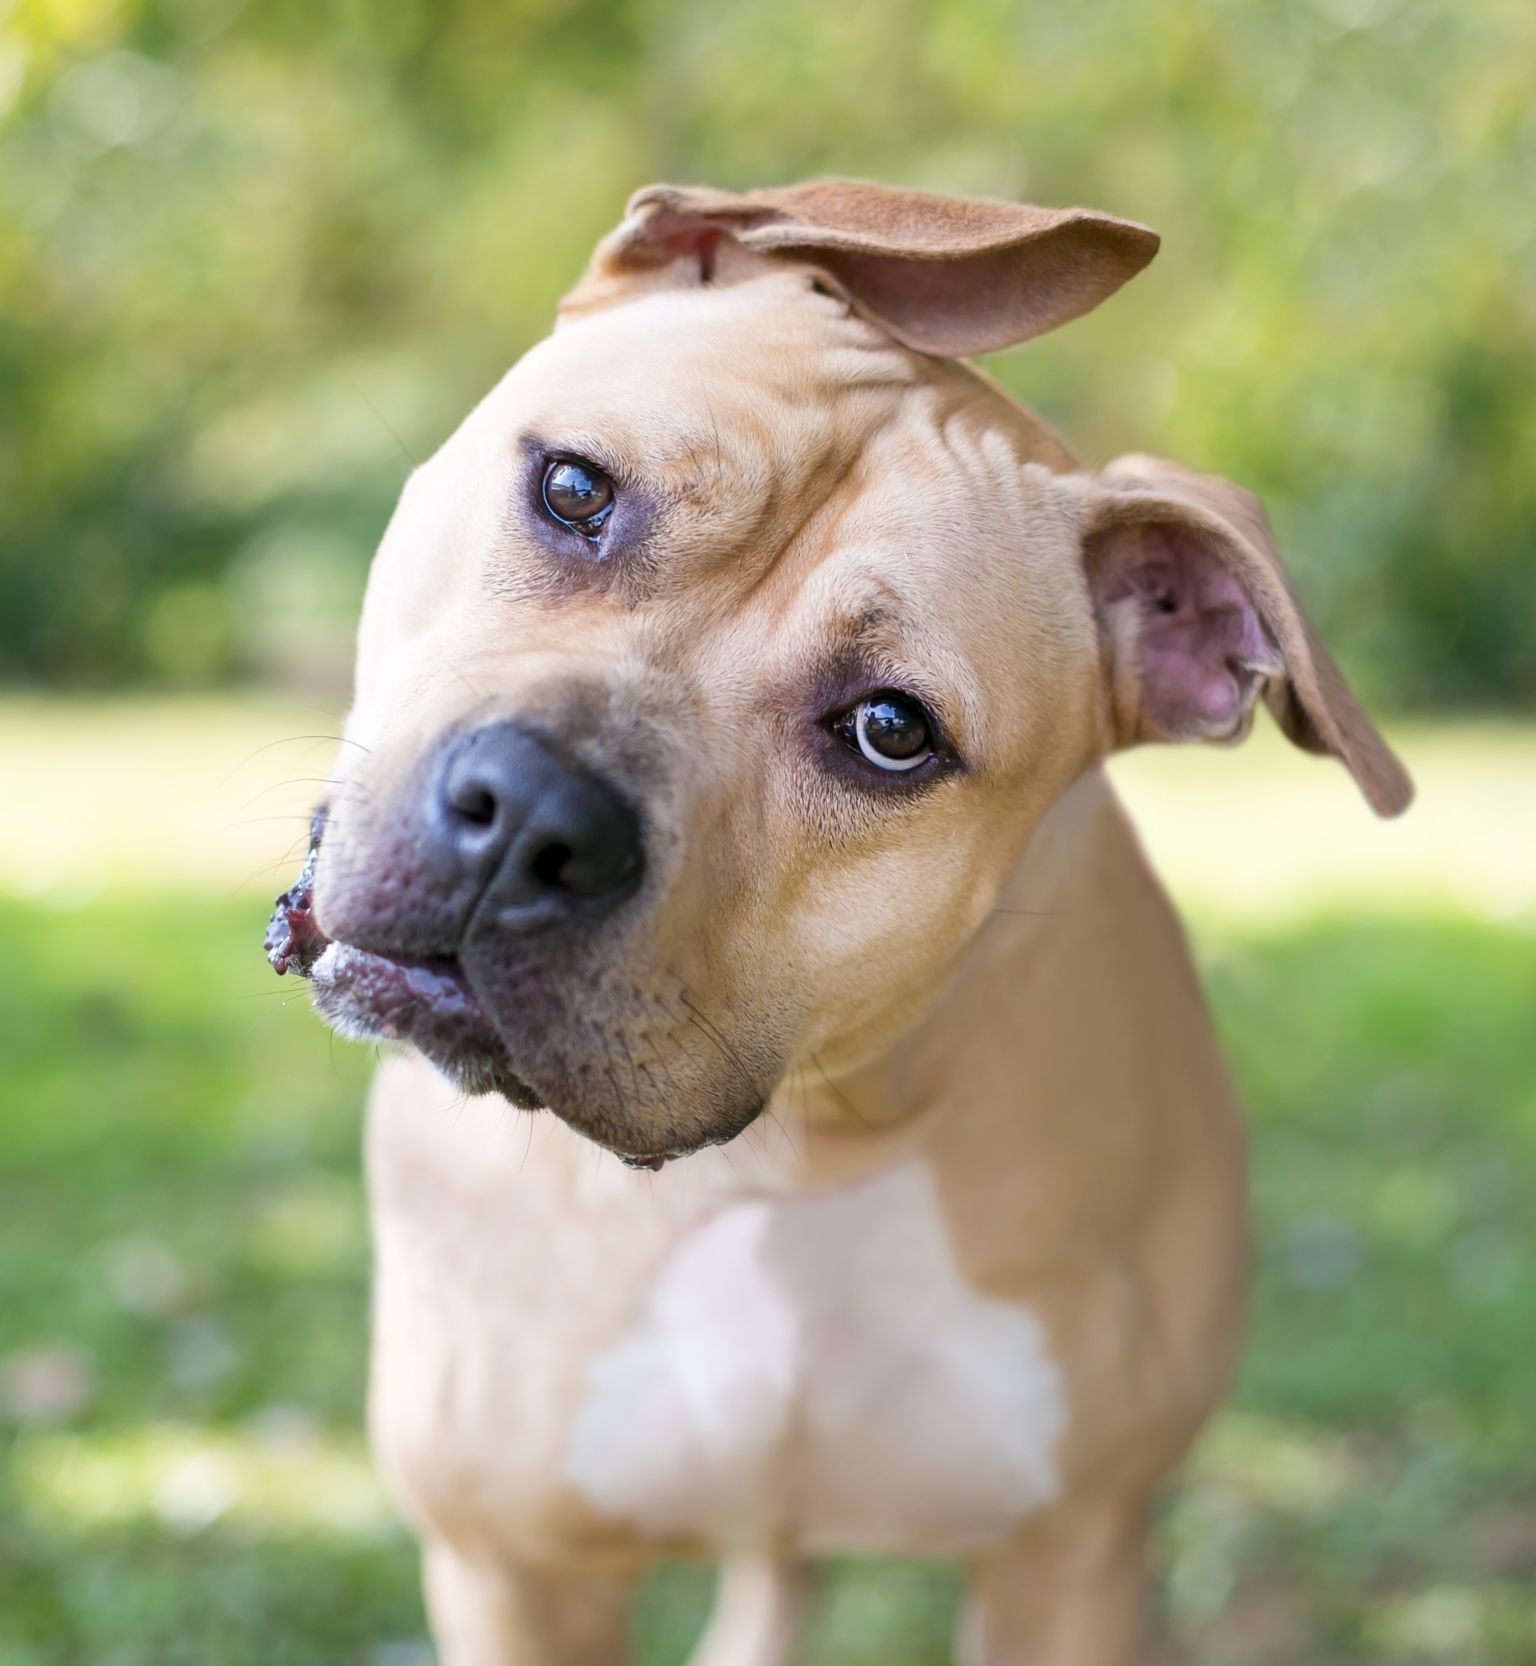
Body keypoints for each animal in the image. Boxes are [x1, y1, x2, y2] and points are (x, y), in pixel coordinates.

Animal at [265, 180, 1411, 1665]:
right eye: (575, 490)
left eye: (891, 731)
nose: (530, 817)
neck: (793, 1143)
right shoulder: (514, 1565)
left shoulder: (1071, 1559)